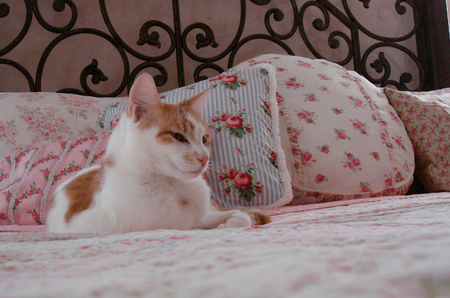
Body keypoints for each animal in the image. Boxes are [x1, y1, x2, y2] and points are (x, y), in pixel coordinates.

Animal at [47, 73, 268, 233]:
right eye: (178, 136)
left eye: (204, 138)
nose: (204, 158)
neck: (173, 187)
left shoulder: (204, 214)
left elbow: (240, 216)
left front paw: (230, 221)